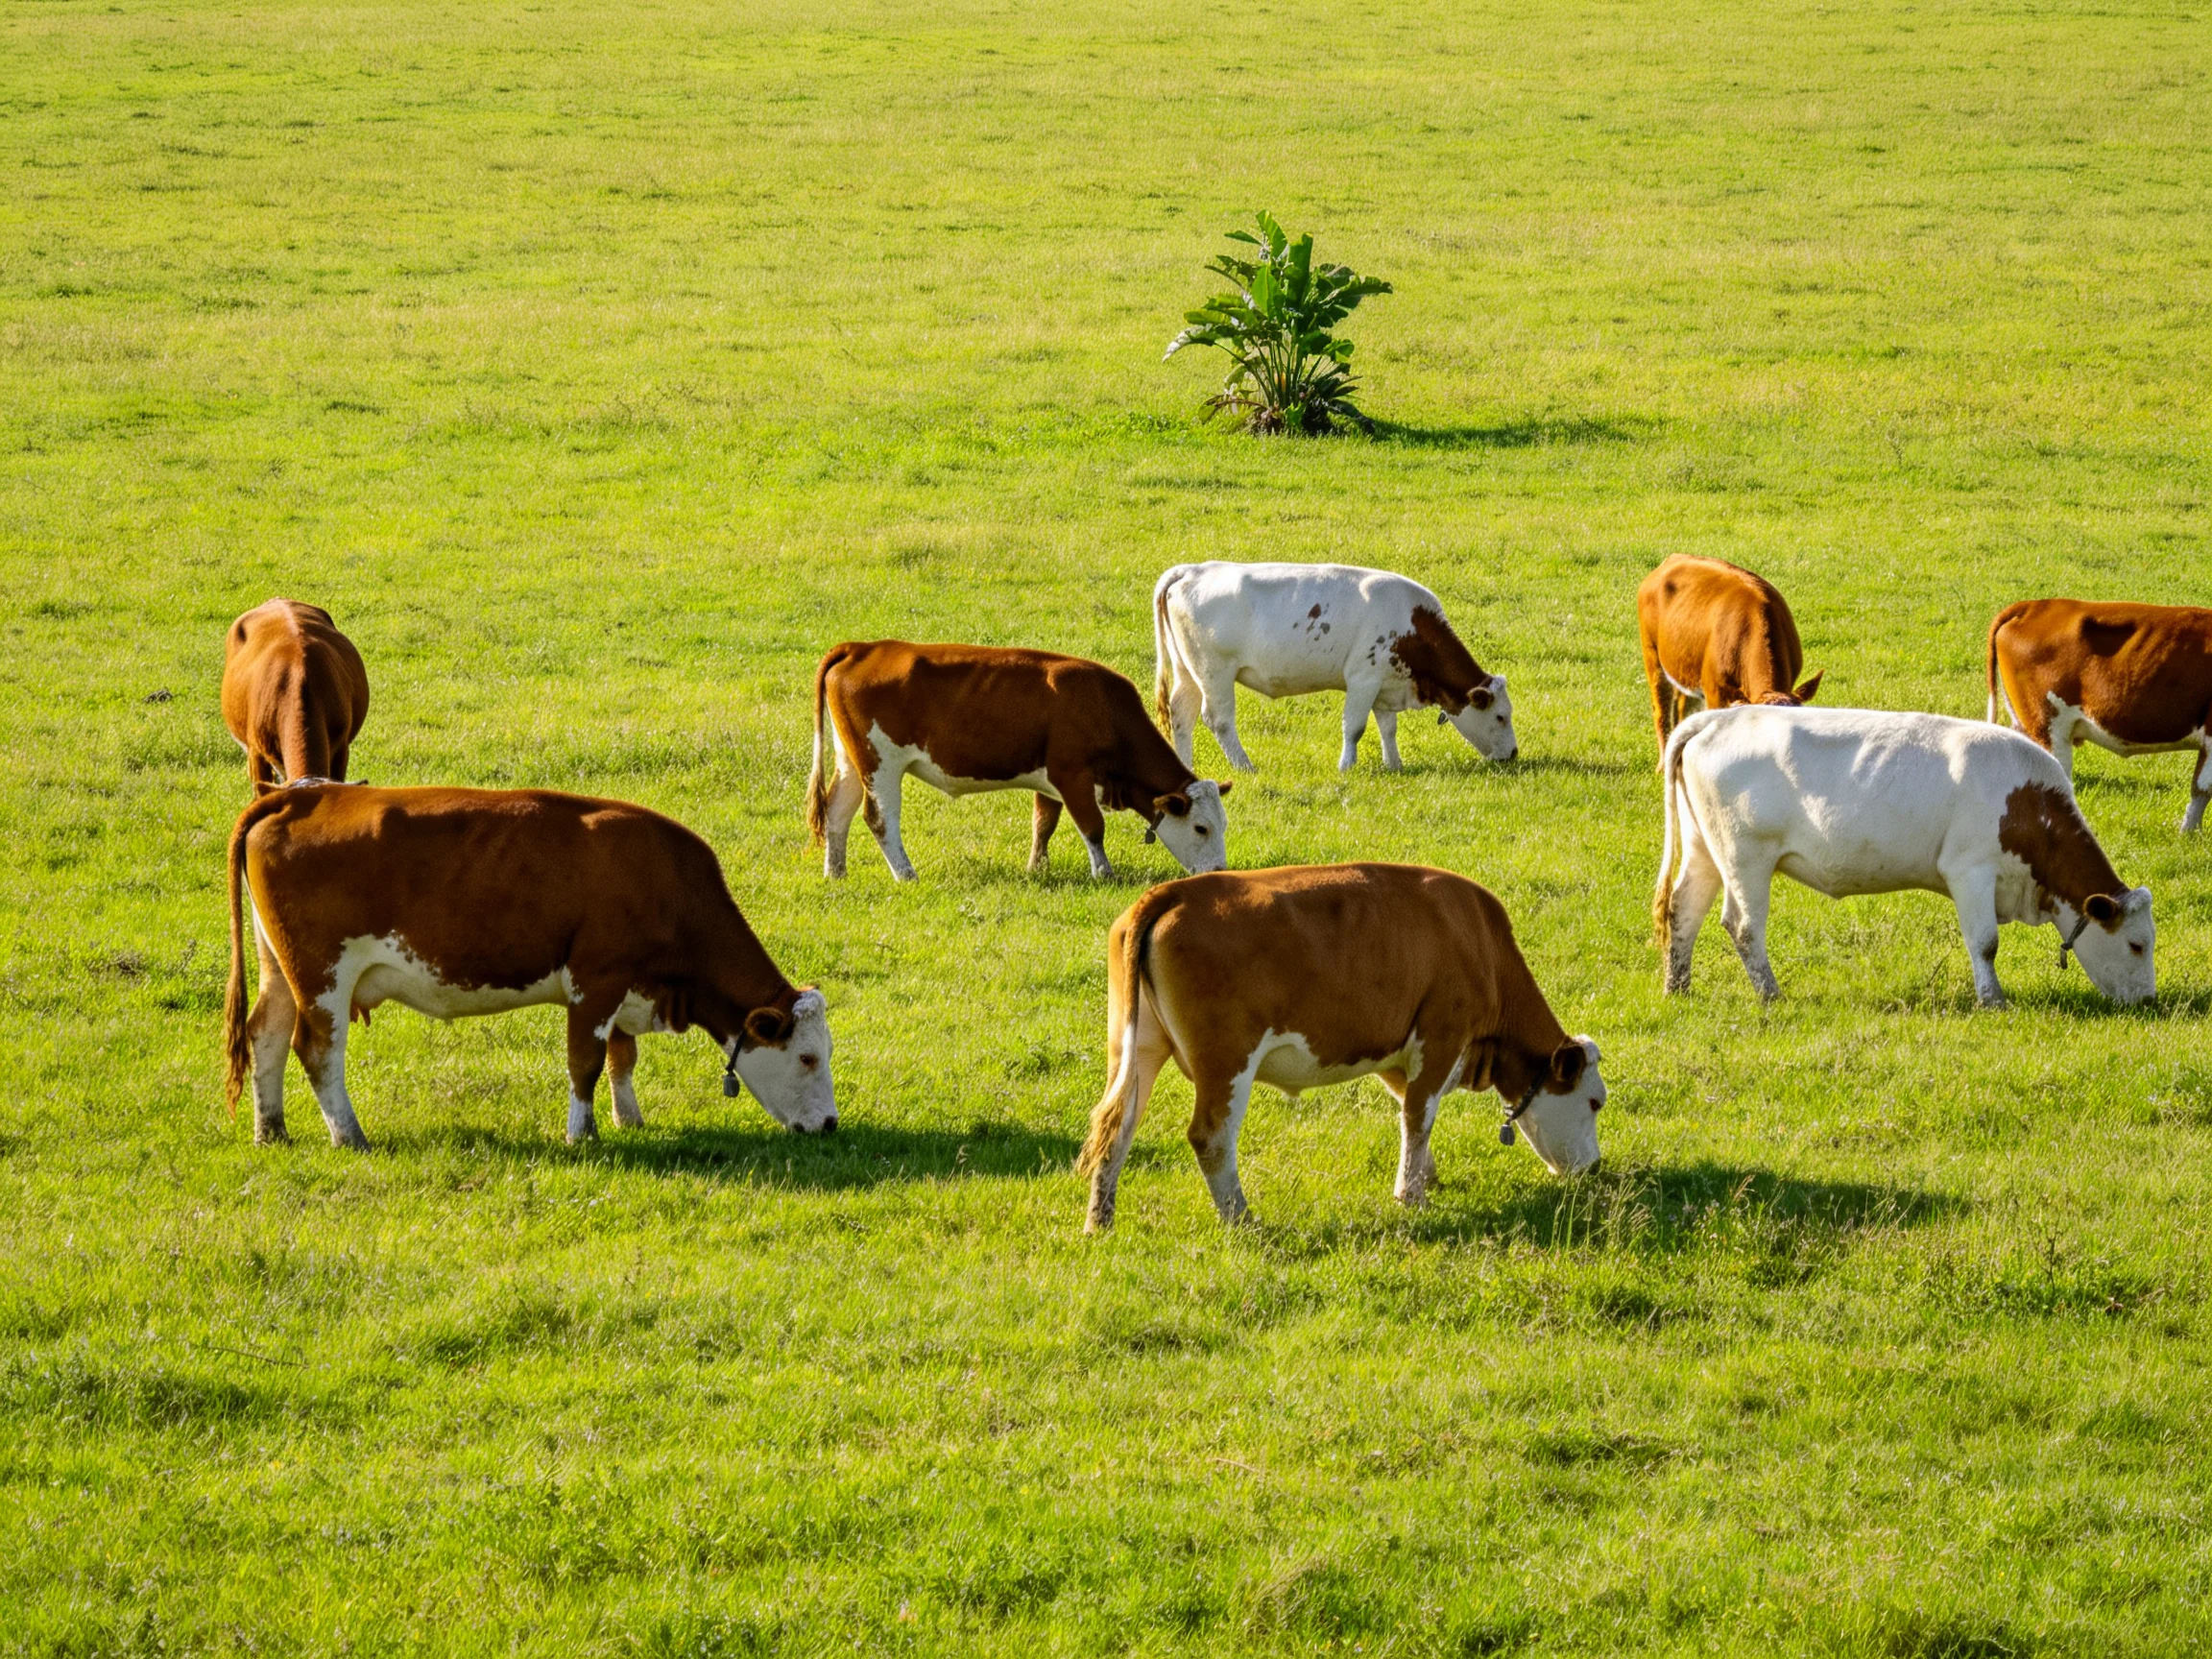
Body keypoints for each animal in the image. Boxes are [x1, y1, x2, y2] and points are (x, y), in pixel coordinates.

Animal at [224, 783, 837, 1149]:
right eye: (807, 1058)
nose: (831, 1124)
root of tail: (303, 794)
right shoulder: (597, 978)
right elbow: (586, 1062)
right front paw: (583, 1136)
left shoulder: (623, 985)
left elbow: (622, 1058)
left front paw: (629, 1119)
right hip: (322, 975)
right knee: (317, 1049)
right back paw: (350, 1136)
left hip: (280, 967)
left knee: (267, 1035)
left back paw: (271, 1131)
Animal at [805, 640, 1231, 882]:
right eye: (1201, 828)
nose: (1219, 872)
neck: (1102, 706)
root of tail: (862, 647)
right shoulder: (1071, 774)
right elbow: (1092, 827)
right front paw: (1103, 873)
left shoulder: (1052, 782)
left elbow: (1043, 824)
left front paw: (1037, 869)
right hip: (881, 763)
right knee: (879, 819)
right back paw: (906, 874)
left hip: (852, 760)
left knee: (838, 812)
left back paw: (836, 873)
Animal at [1076, 863, 1605, 1232]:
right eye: (1595, 1102)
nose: (1595, 1167)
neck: (1476, 939)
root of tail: (1174, 891)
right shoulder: (1442, 1034)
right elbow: (1419, 1114)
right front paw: (1411, 1196)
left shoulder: (1394, 1046)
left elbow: (1412, 1112)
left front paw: (1424, 1175)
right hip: (1226, 1062)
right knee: (1210, 1137)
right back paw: (1241, 1218)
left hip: (1135, 1047)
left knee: (1116, 1123)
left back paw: (1100, 1222)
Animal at [1151, 562, 1515, 773]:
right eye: (1500, 716)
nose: (1512, 754)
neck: (1412, 624)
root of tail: (1191, 570)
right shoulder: (1363, 679)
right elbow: (1354, 727)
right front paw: (1346, 766)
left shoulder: (1386, 683)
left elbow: (1388, 727)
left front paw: (1394, 765)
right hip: (1215, 672)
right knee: (1219, 720)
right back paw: (1245, 766)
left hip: (1188, 671)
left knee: (1182, 714)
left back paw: (1187, 767)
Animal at [1654, 706, 2155, 1008]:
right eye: (2136, 944)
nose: (2149, 1001)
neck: (2026, 802)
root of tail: (1717, 718)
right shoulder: (1970, 871)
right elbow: (1985, 943)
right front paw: (1993, 1000)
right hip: (1746, 858)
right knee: (1743, 926)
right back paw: (1772, 995)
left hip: (1705, 848)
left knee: (1684, 911)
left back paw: (1679, 987)